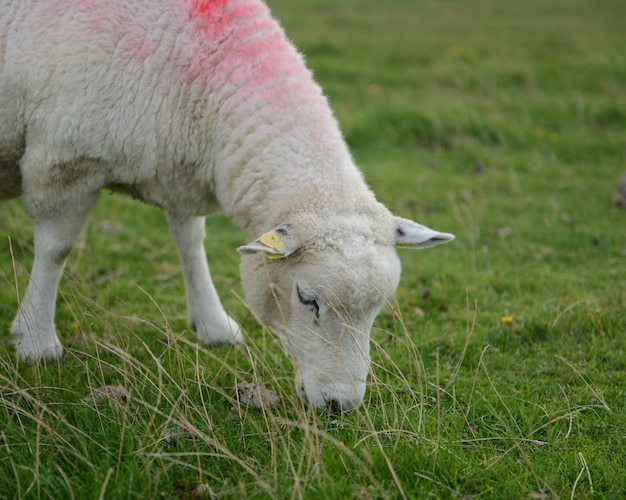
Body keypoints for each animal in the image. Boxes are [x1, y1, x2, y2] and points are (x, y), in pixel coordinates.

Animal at [2, 0, 456, 410]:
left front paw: (213, 325)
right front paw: (37, 341)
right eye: (307, 299)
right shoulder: (63, 161)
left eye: (377, 309)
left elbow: (190, 241)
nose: (340, 405)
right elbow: (56, 250)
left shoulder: (176, 166)